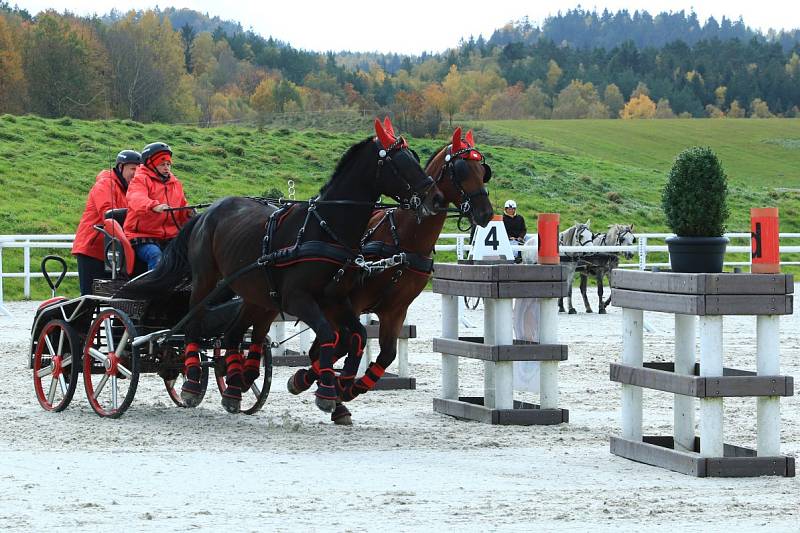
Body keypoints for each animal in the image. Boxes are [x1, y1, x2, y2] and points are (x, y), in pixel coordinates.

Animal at [119, 118, 444, 414]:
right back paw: (192, 380)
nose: (436, 198)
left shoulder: (336, 299)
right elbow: (328, 335)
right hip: (206, 280)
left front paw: (344, 386)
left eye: (415, 157)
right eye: (399, 162)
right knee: (193, 324)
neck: (323, 228)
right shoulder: (298, 299)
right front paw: (327, 390)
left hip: (252, 292)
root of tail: (207, 212)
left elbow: (358, 337)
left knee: (233, 335)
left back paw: (235, 385)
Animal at [284, 127, 490, 422]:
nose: (486, 212)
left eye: (482, 170)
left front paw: (347, 390)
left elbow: (386, 354)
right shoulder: (349, 302)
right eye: (461, 170)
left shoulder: (395, 310)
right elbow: (343, 343)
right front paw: (319, 386)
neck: (404, 240)